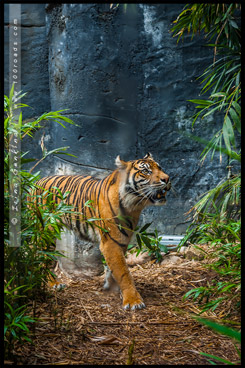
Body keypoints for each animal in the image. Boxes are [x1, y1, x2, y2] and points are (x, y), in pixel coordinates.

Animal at [34, 152, 171, 310]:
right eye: (146, 171)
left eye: (160, 168)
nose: (167, 179)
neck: (134, 205)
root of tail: (35, 182)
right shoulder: (110, 242)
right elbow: (124, 271)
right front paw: (133, 301)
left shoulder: (122, 240)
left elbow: (114, 268)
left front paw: (111, 287)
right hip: (45, 233)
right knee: (41, 257)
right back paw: (54, 284)